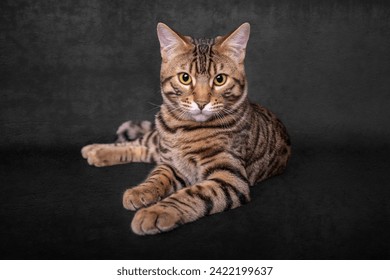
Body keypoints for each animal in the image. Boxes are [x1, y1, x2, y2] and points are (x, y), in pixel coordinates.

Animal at [80, 23, 290, 235]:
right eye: (185, 78)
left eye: (220, 79)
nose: (201, 103)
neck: (186, 130)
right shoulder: (171, 163)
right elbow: (157, 176)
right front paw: (142, 190)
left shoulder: (230, 178)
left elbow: (191, 194)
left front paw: (155, 212)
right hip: (158, 141)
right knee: (141, 143)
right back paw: (96, 149)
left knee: (144, 150)